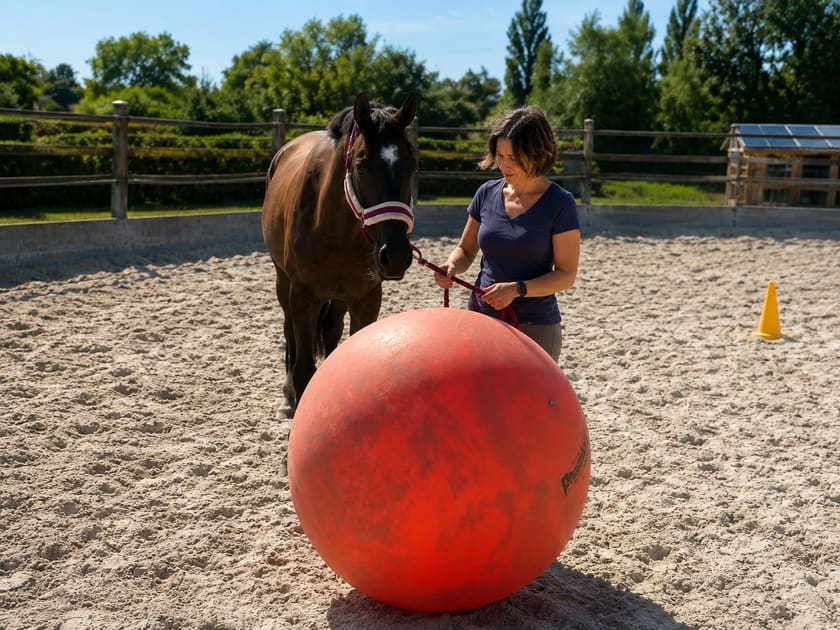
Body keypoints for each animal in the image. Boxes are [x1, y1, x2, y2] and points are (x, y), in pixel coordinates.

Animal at [261, 91, 418, 412]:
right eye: (362, 166)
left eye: (411, 165)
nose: (396, 256)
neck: (334, 229)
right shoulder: (302, 297)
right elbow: (304, 369)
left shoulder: (366, 299)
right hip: (283, 281)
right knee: (288, 330)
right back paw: (287, 392)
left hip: (339, 297)